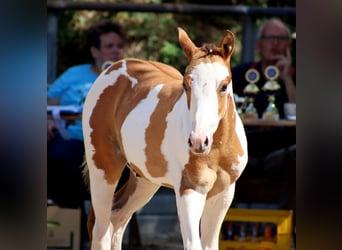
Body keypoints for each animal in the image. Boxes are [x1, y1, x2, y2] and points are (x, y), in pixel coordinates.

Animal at [84, 27, 247, 250]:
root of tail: (114, 68)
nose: (198, 141)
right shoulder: (189, 191)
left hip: (144, 180)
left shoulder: (223, 193)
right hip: (104, 170)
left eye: (223, 86)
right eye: (186, 84)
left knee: (116, 218)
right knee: (101, 230)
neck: (217, 149)